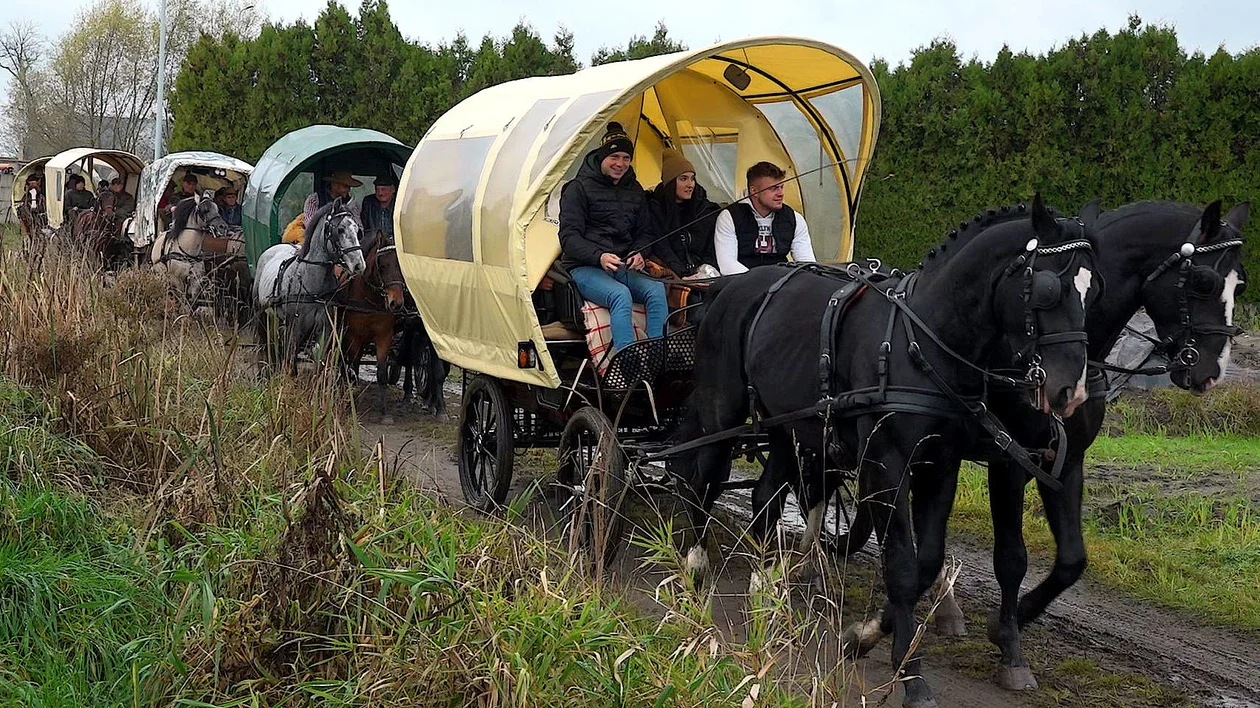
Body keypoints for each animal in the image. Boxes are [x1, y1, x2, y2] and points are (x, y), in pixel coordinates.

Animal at [252, 196, 367, 375]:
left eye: (357, 230)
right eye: (340, 229)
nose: (358, 265)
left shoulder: (324, 331)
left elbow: (320, 363)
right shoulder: (295, 329)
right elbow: (290, 361)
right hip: (262, 314)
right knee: (264, 344)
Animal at [337, 230, 405, 418]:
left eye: (401, 267)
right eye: (382, 266)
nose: (396, 303)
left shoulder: (384, 337)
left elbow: (381, 372)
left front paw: (385, 413)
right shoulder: (353, 338)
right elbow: (353, 368)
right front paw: (352, 403)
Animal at [675, 194, 1098, 705]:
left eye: (1092, 291)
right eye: (1048, 291)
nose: (1071, 392)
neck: (921, 343)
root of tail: (728, 286)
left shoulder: (940, 464)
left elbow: (927, 560)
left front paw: (868, 635)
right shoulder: (885, 464)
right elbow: (900, 563)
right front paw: (911, 675)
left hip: (788, 425)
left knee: (765, 496)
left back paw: (765, 588)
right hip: (723, 411)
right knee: (703, 481)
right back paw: (695, 568)